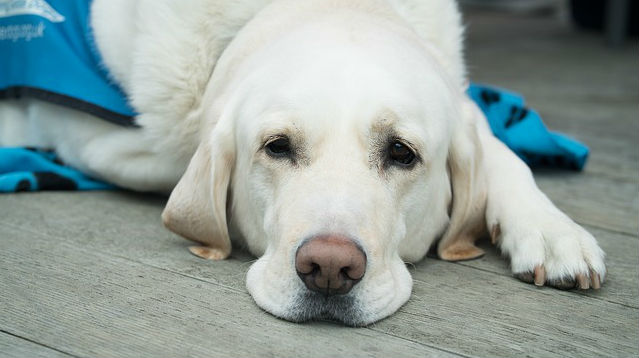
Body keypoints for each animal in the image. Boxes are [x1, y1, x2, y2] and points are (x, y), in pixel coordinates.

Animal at [0, 0, 608, 326]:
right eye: (276, 147)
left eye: (401, 153)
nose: (330, 268)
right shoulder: (100, 138)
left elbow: (500, 152)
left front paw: (553, 231)